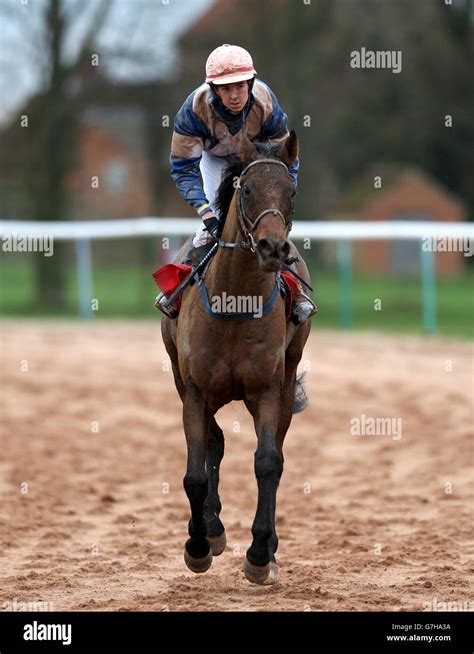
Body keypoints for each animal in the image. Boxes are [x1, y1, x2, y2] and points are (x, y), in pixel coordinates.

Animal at [161, 131, 312, 588]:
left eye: (290, 191)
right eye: (246, 190)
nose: (273, 247)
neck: (235, 302)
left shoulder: (267, 389)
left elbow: (268, 462)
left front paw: (261, 554)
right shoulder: (194, 390)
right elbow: (195, 472)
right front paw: (198, 545)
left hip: (287, 378)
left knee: (274, 452)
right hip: (180, 377)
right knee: (215, 441)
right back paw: (211, 529)